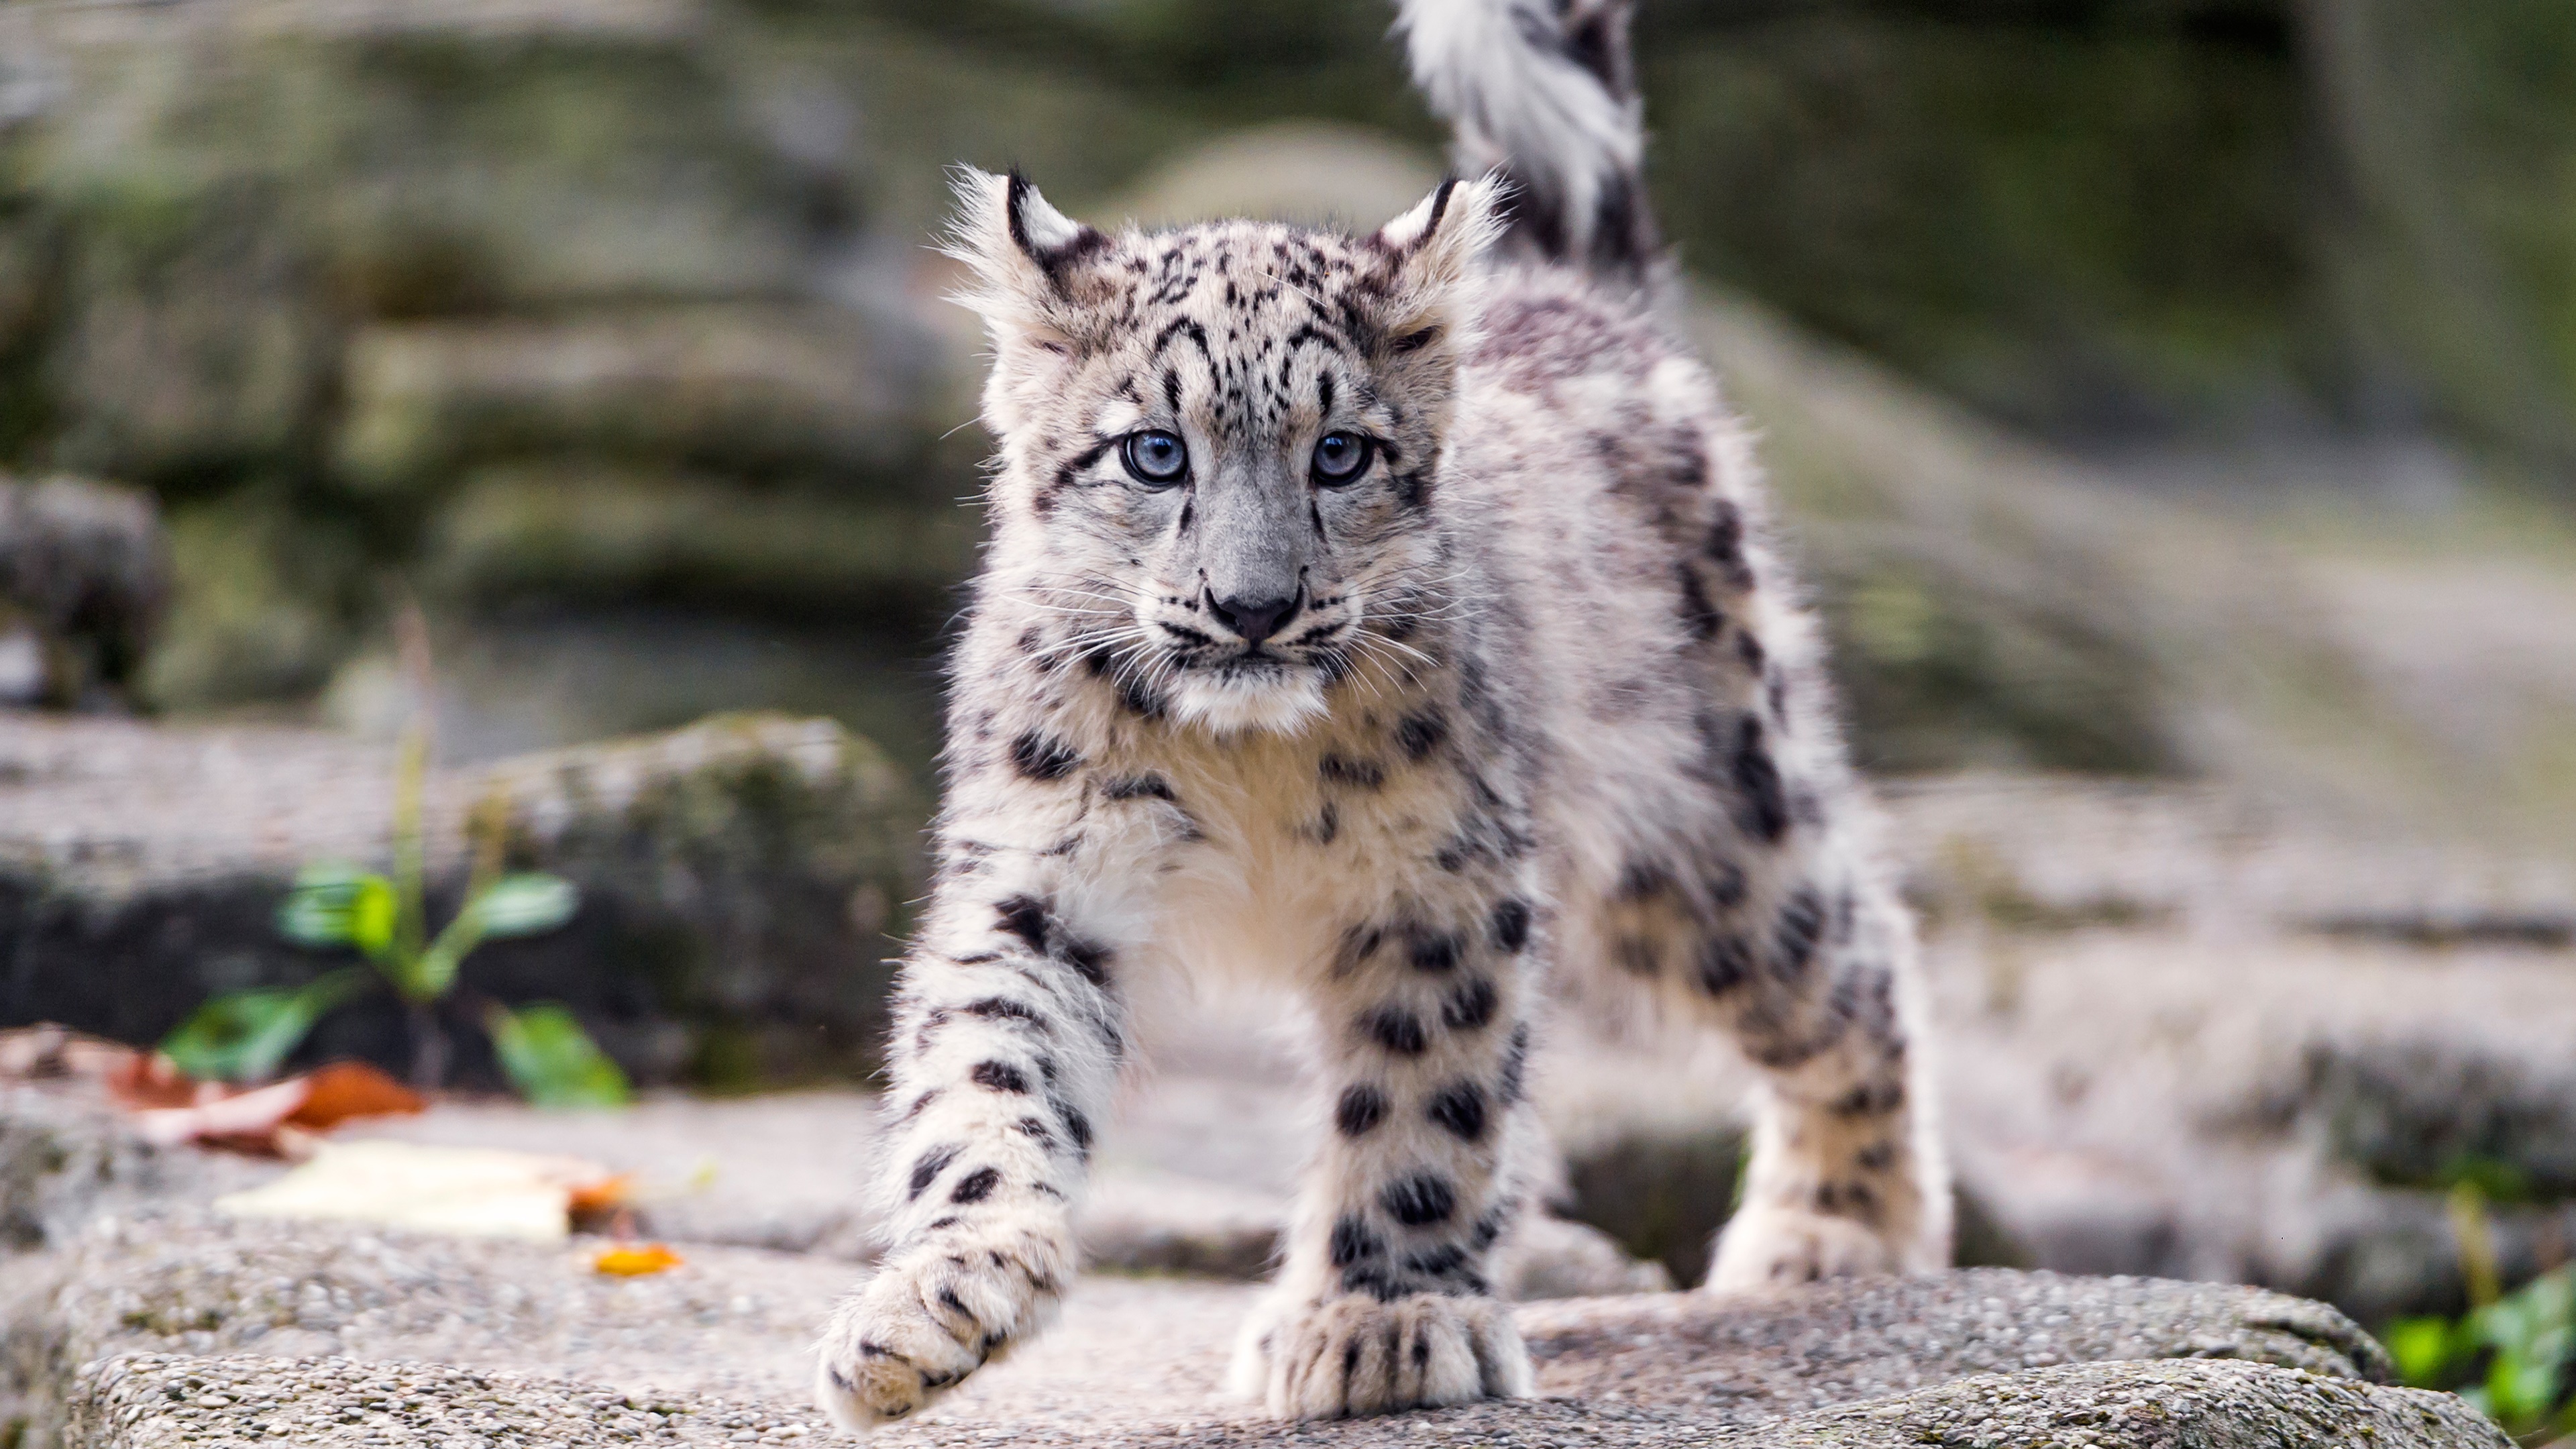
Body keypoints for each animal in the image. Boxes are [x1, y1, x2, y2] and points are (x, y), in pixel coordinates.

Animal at [814, 0, 1950, 1428]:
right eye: (1155, 453)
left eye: (1340, 453)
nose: (1250, 606)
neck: (1244, 766)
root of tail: (1581, 303)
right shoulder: (1044, 868)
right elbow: (989, 1074)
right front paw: (936, 1302)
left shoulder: (1439, 881)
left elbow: (1422, 1095)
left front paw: (1384, 1321)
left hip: (1706, 845)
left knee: (1855, 964)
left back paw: (1835, 1227)